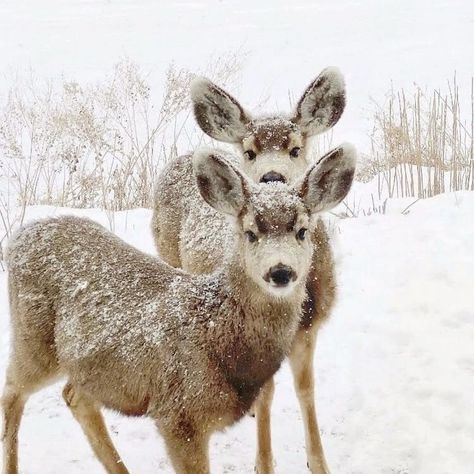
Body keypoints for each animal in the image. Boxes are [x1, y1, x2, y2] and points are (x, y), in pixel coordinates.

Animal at [0, 146, 356, 472]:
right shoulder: (179, 415)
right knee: (12, 394)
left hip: (94, 366)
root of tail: (21, 237)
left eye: (302, 231)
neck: (216, 329)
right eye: (250, 232)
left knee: (74, 396)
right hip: (34, 340)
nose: (281, 271)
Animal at [152, 68, 348, 472]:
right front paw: (264, 462)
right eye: (249, 151)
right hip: (166, 253)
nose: (272, 177)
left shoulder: (311, 327)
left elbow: (306, 390)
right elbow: (268, 393)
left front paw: (318, 461)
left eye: (295, 148)